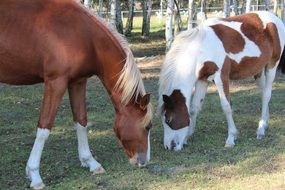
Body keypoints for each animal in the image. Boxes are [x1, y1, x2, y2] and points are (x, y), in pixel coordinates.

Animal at [0, 0, 153, 189]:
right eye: (148, 126)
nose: (144, 161)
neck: (84, 36)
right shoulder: (55, 83)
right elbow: (44, 128)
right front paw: (34, 175)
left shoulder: (78, 82)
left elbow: (81, 121)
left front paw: (91, 162)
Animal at [158, 11, 284, 151]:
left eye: (168, 119)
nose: (169, 146)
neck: (200, 49)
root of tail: (275, 19)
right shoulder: (202, 80)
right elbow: (194, 107)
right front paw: (187, 137)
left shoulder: (220, 77)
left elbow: (226, 106)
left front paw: (231, 138)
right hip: (258, 71)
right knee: (263, 94)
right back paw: (265, 122)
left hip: (272, 65)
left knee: (266, 95)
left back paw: (261, 129)